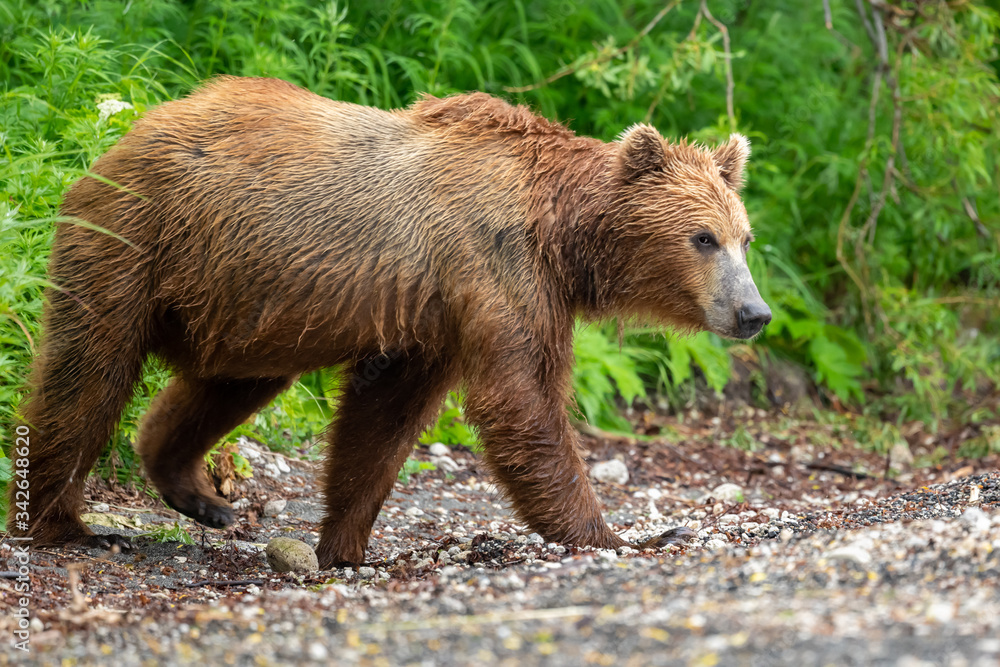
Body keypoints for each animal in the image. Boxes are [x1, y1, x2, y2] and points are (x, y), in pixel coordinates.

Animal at [11, 76, 770, 569]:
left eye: (746, 237)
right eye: (703, 238)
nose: (754, 311)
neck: (561, 234)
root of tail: (125, 133)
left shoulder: (431, 316)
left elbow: (383, 419)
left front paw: (347, 547)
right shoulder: (496, 270)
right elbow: (522, 400)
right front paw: (618, 536)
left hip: (244, 296)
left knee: (229, 381)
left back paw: (199, 493)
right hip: (134, 240)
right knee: (89, 371)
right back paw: (65, 522)